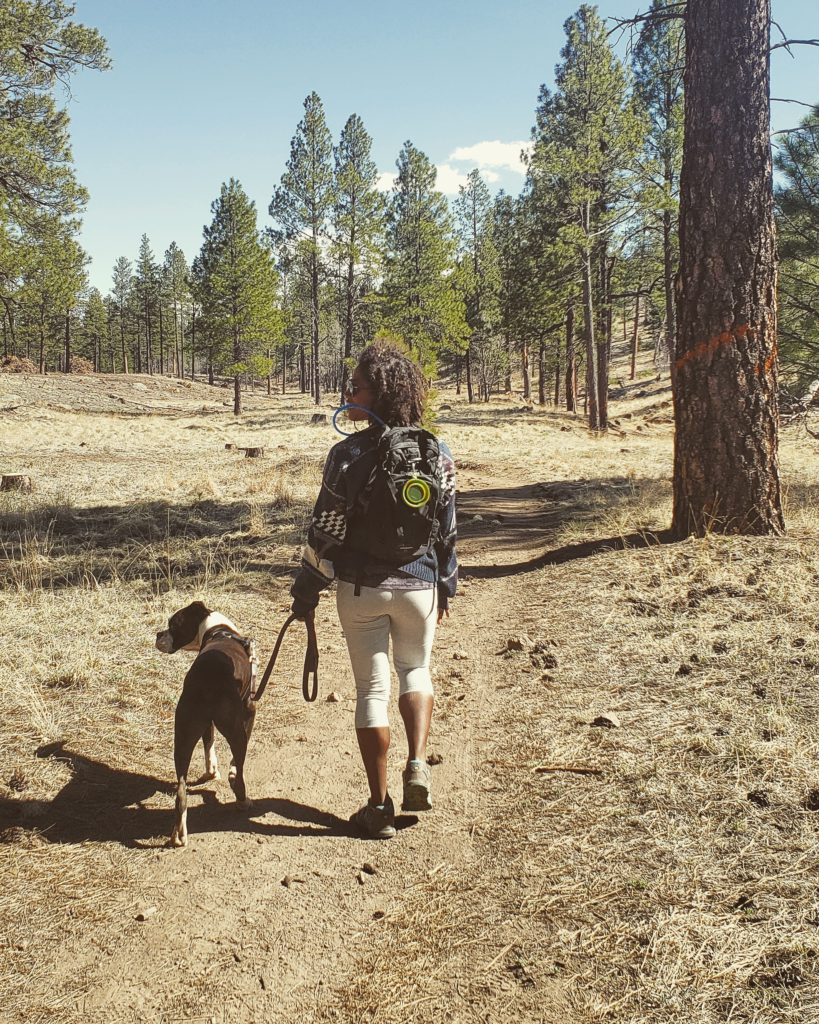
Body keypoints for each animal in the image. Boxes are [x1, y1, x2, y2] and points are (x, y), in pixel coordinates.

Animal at [153, 598, 255, 847]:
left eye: (173, 624)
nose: (158, 634)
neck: (217, 630)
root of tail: (207, 678)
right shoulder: (250, 711)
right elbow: (235, 764)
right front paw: (230, 773)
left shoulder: (205, 725)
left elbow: (209, 745)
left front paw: (211, 773)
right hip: (236, 730)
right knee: (240, 774)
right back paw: (243, 801)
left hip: (183, 733)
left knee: (181, 791)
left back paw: (178, 834)